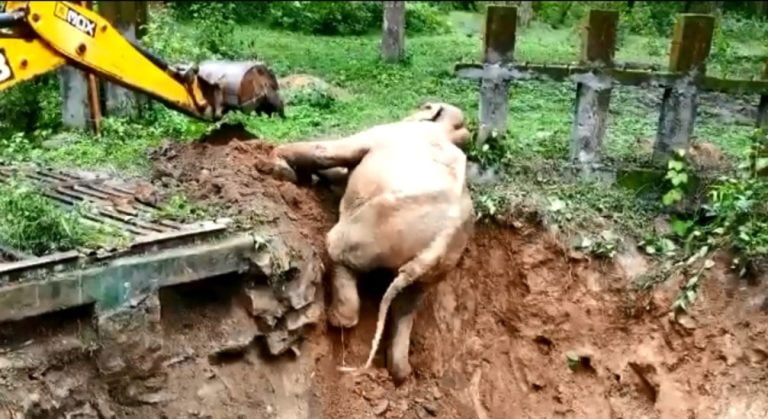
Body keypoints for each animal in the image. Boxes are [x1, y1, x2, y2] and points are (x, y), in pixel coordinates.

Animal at [268, 102, 475, 382]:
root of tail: (437, 245)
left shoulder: (381, 133)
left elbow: (331, 152)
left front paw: (276, 165)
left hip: (376, 228)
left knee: (336, 249)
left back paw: (335, 318)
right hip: (435, 269)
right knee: (407, 306)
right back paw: (400, 372)